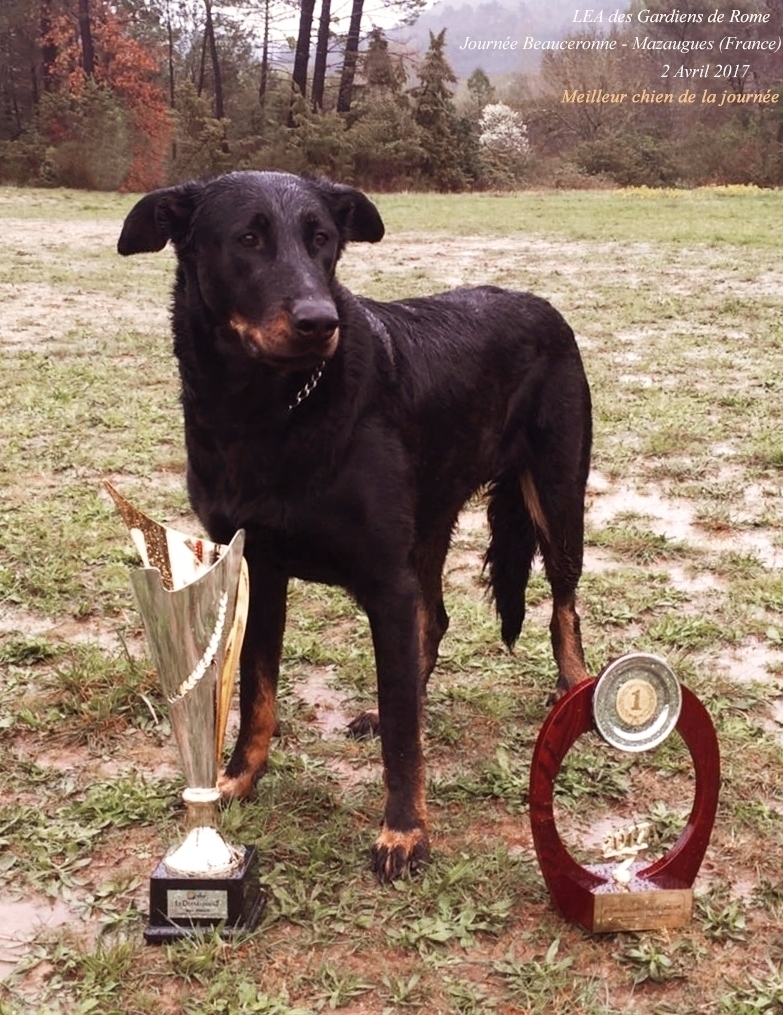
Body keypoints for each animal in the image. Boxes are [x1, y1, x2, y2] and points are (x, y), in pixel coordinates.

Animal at [119, 172, 593, 881]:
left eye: (323, 240)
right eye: (248, 239)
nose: (322, 322)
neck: (272, 412)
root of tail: (543, 306)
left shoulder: (384, 581)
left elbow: (401, 732)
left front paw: (404, 831)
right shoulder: (258, 567)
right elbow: (258, 691)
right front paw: (235, 778)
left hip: (556, 501)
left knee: (563, 606)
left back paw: (575, 689)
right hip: (430, 525)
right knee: (437, 620)